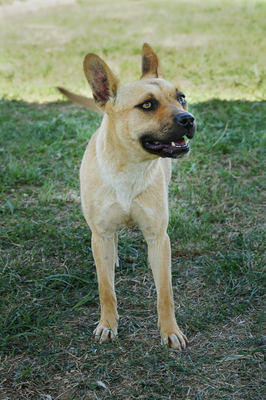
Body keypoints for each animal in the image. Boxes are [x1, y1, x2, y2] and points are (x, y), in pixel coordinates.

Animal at [58, 44, 195, 350]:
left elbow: (165, 292)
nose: (189, 119)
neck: (129, 169)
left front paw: (170, 330)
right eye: (147, 105)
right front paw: (108, 325)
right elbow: (106, 288)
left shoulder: (158, 236)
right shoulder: (101, 233)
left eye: (181, 98)